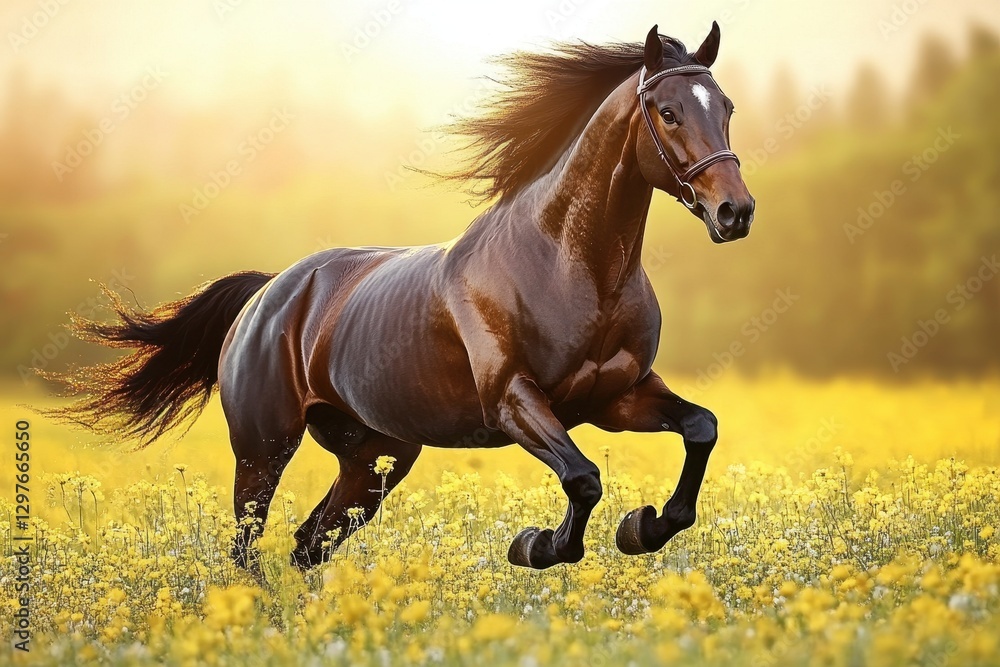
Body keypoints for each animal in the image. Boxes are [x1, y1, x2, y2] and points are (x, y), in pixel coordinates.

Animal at [48, 23, 754, 570]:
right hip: (263, 448)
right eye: (668, 112)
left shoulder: (615, 398)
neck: (569, 264)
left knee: (307, 544)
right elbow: (583, 479)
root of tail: (268, 293)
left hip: (374, 458)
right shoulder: (516, 400)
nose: (735, 212)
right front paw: (536, 546)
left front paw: (645, 527)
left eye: (725, 108)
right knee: (248, 545)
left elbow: (702, 428)